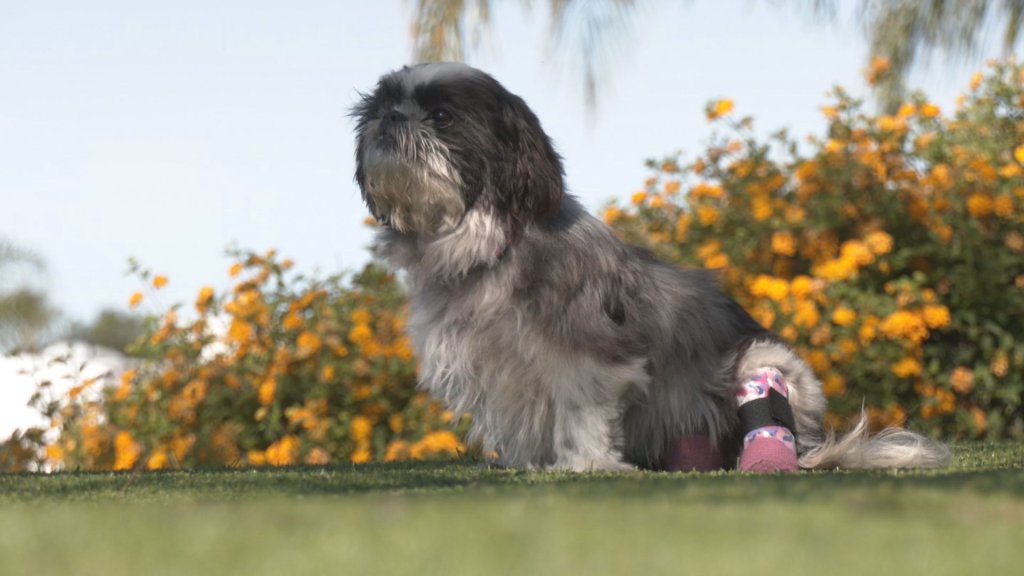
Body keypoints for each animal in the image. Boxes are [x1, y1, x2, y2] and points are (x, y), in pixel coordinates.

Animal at [352, 61, 950, 471]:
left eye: (442, 116)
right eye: (378, 106)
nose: (390, 118)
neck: (489, 248)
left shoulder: (592, 356)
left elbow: (580, 411)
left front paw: (585, 463)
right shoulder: (494, 367)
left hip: (765, 359)